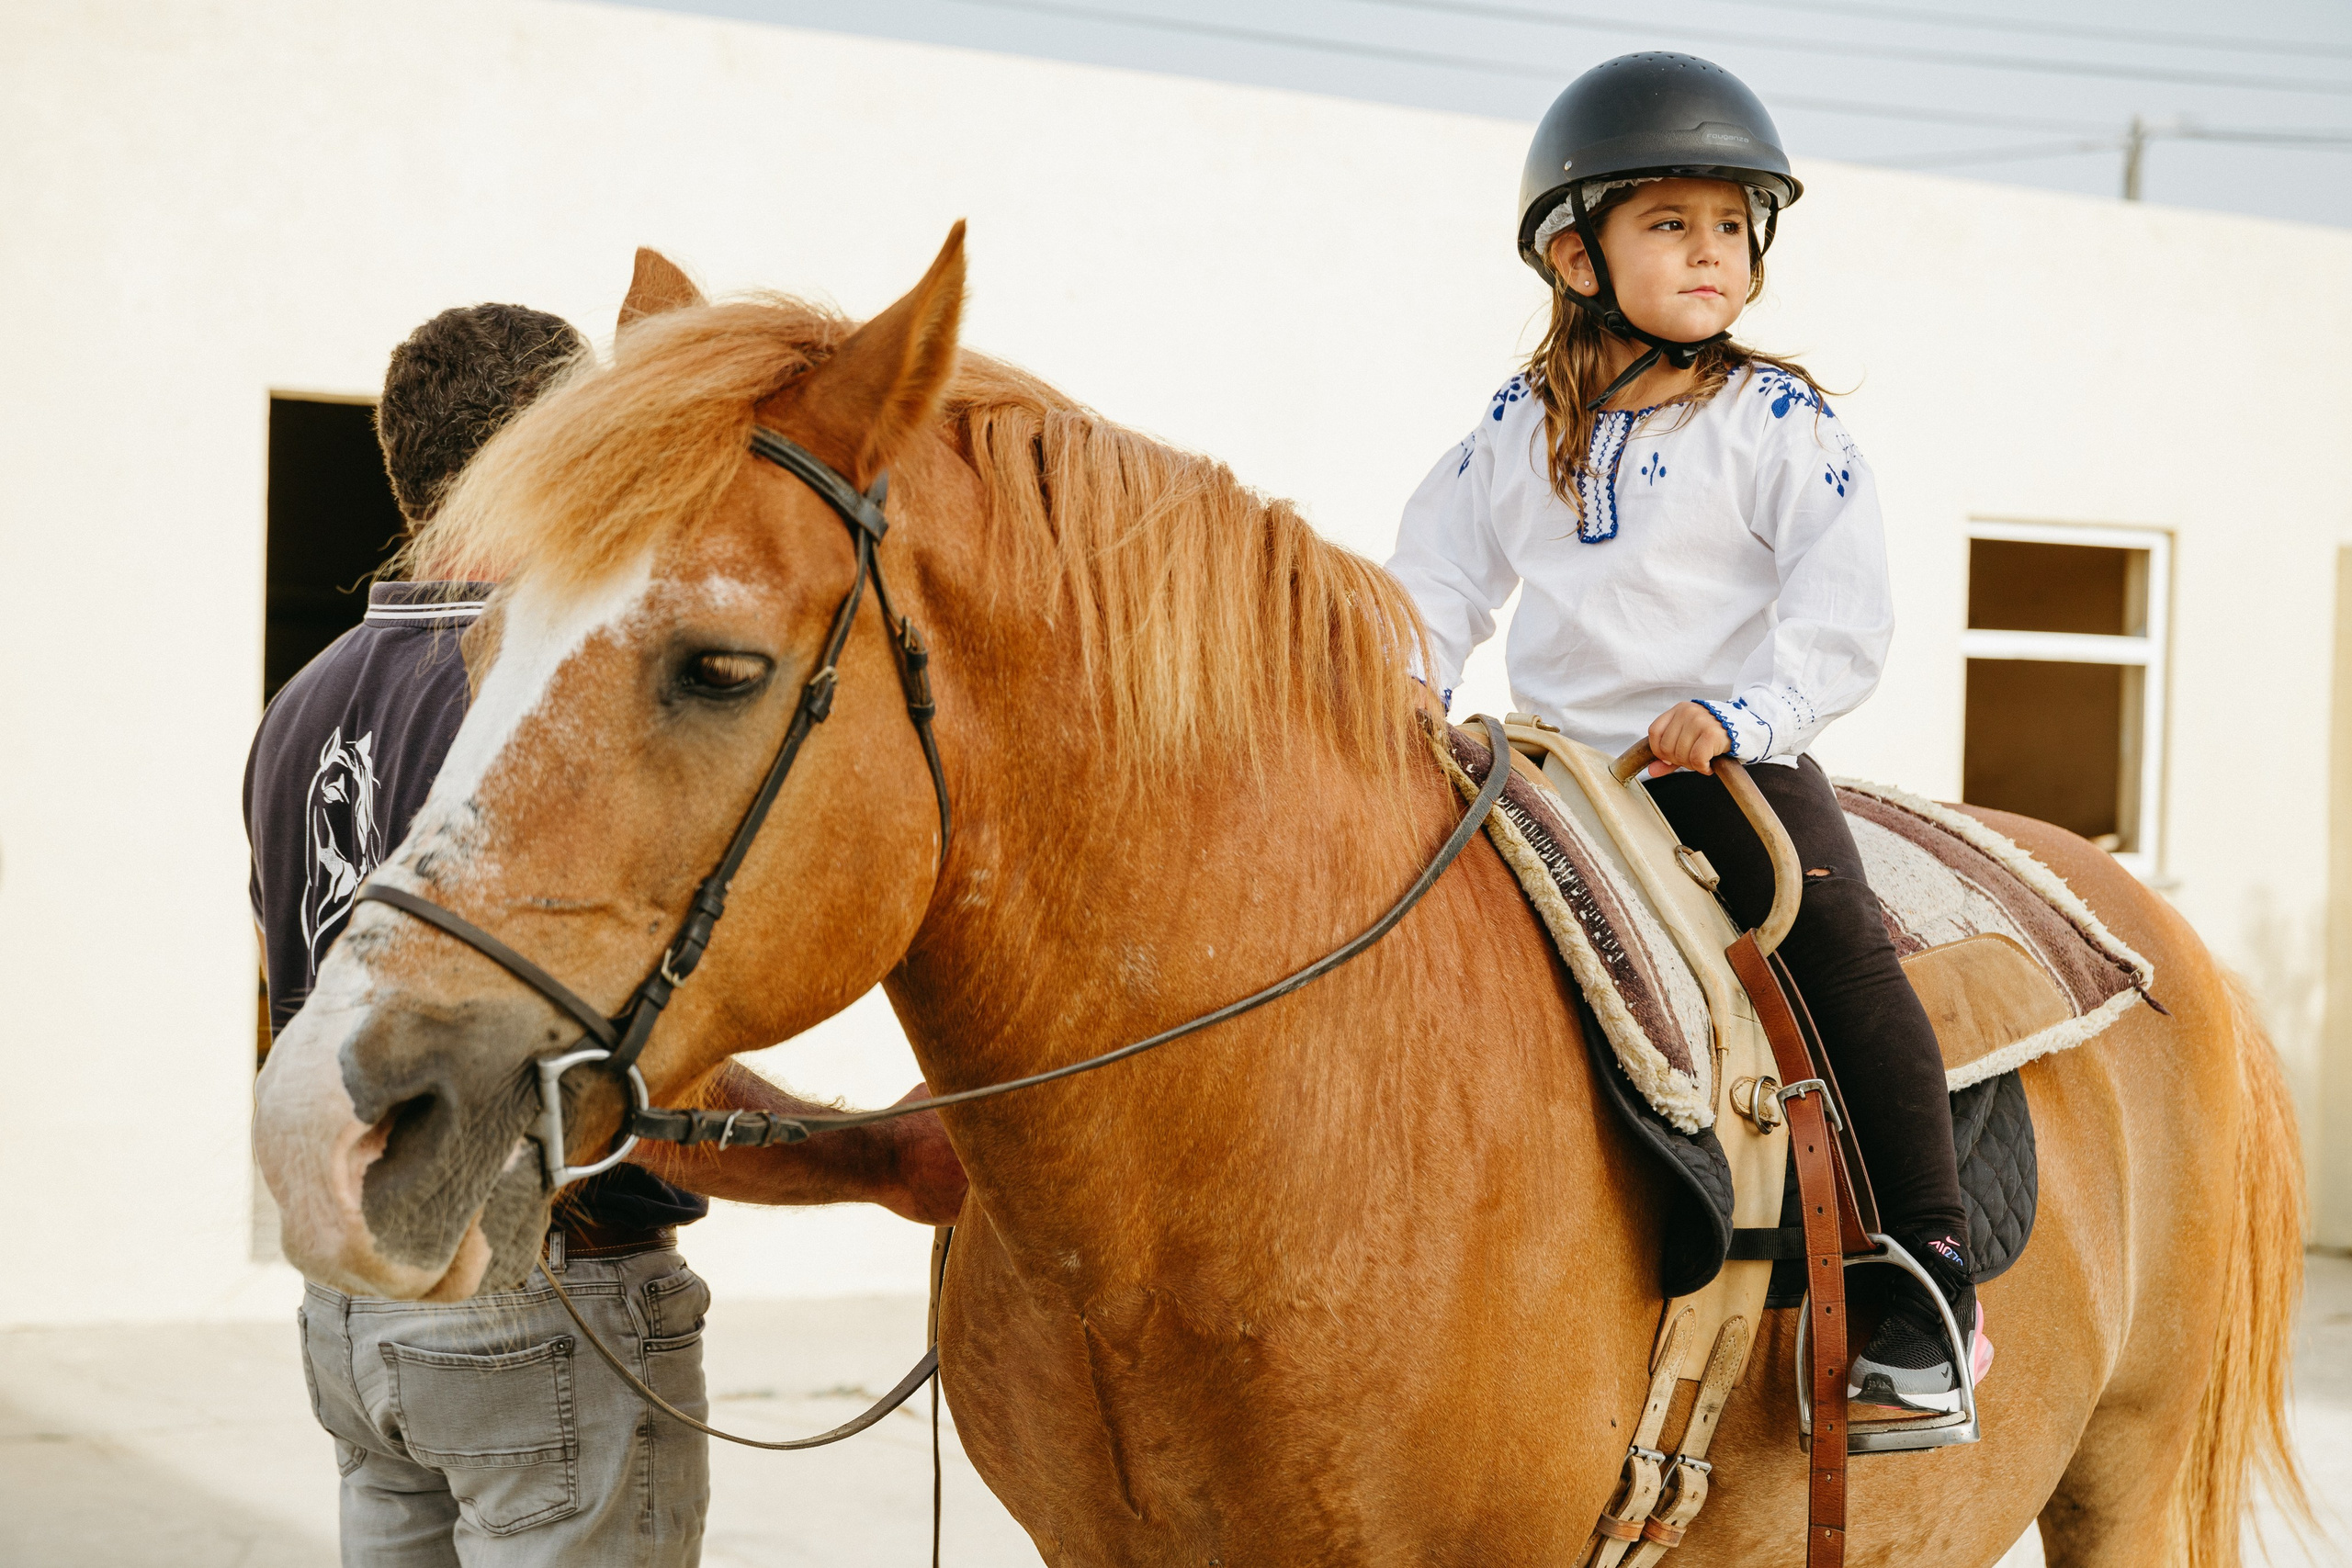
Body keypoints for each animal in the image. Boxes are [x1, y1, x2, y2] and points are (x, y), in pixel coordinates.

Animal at [252, 227, 2305, 1566]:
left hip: (2125, 1492)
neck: (1266, 1130)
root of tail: (2164, 944)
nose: (323, 1134)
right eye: (477, 638)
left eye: (720, 667)